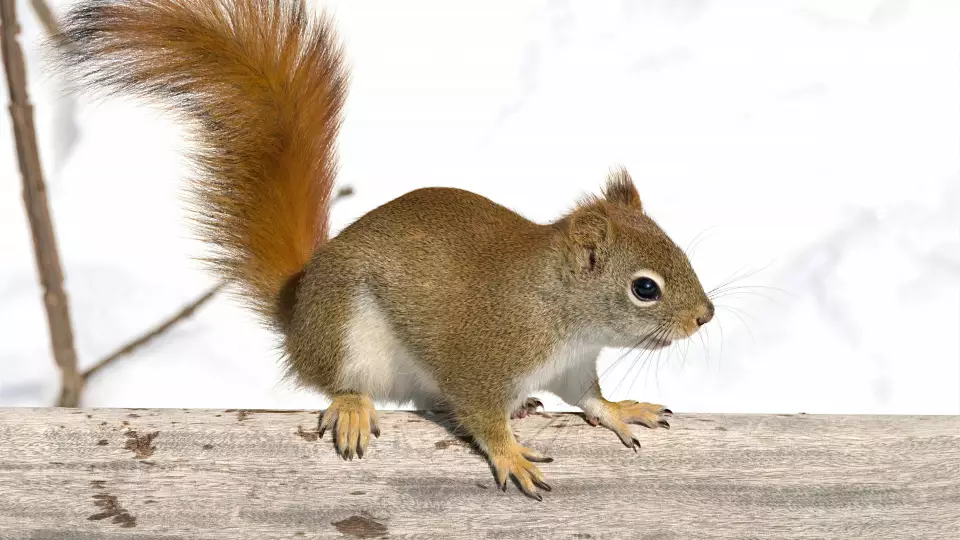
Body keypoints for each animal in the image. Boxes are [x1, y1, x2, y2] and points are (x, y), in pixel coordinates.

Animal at [56, 0, 714, 500]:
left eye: (679, 253)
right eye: (645, 288)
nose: (705, 317)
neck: (560, 311)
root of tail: (299, 314)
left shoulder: (573, 365)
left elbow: (589, 400)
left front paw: (621, 409)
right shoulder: (481, 359)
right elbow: (481, 413)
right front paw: (510, 455)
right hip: (348, 333)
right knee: (336, 380)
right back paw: (352, 405)